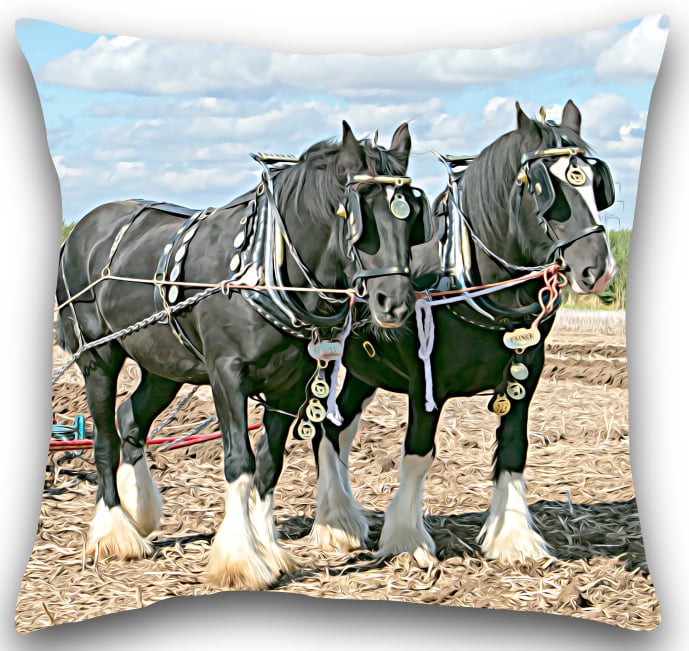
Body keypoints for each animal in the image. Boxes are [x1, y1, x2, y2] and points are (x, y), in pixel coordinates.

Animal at [55, 120, 435, 590]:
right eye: (358, 212)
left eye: (412, 215)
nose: (394, 302)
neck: (265, 267)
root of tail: (83, 230)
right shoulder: (226, 374)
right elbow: (240, 460)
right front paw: (239, 559)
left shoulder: (292, 385)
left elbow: (269, 464)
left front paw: (268, 549)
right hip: (98, 356)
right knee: (105, 437)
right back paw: (114, 530)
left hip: (164, 366)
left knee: (130, 419)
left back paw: (139, 512)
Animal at [309, 101, 617, 567]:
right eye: (542, 188)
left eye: (596, 185)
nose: (598, 269)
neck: (469, 279)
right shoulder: (425, 384)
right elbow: (418, 454)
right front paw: (406, 539)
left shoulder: (526, 372)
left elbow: (514, 448)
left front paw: (514, 539)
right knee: (322, 430)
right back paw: (335, 522)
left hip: (365, 371)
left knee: (338, 428)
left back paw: (347, 517)